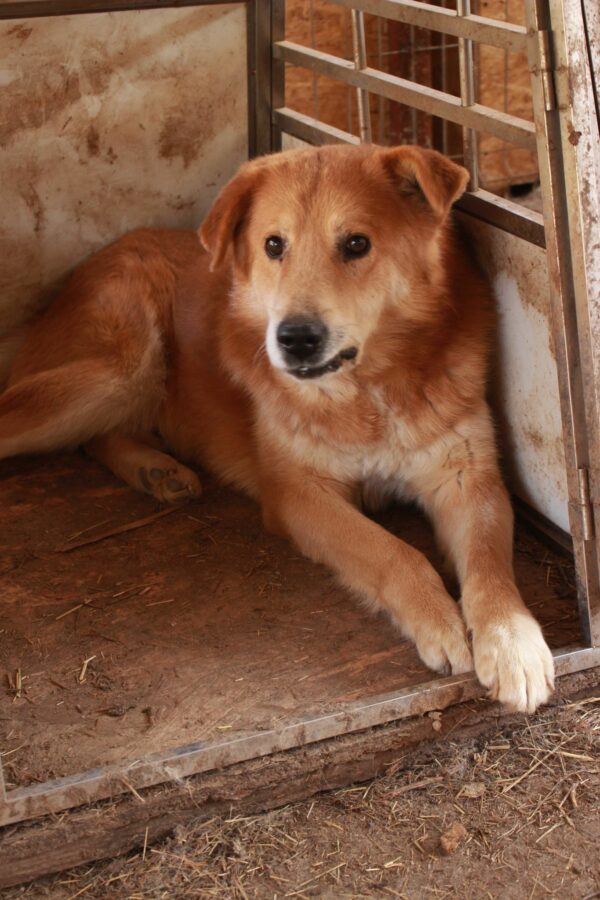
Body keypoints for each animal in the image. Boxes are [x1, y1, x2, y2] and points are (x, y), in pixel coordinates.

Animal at [0, 144, 552, 712]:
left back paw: (156, 470)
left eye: (357, 243)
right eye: (273, 245)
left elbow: (489, 563)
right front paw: (439, 618)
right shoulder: (297, 494)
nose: (296, 338)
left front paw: (512, 640)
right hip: (118, 369)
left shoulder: (470, 482)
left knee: (96, 437)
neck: (369, 388)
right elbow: (395, 553)